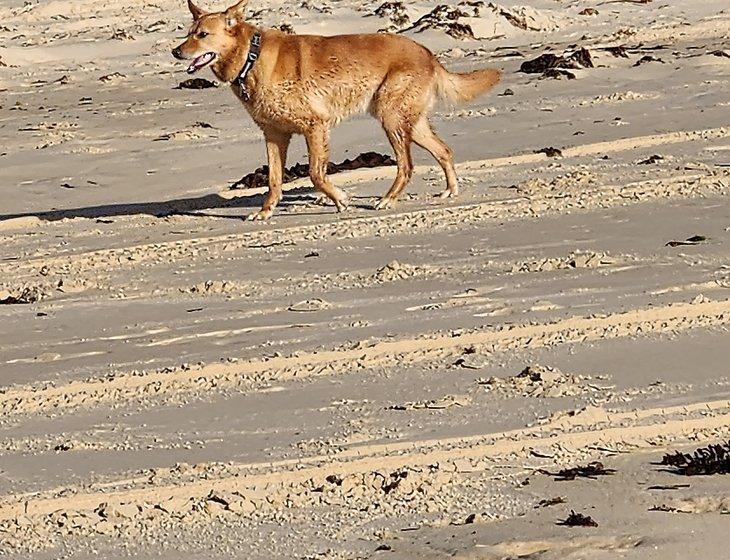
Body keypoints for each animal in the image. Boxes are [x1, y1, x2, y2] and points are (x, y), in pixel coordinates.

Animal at [172, 0, 500, 219]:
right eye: (189, 33)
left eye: (202, 35)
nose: (175, 51)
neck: (250, 59)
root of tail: (428, 53)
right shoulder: (275, 135)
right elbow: (275, 180)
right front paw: (265, 213)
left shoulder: (315, 126)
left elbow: (316, 174)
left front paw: (340, 199)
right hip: (410, 123)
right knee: (444, 151)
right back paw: (450, 190)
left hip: (391, 119)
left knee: (406, 166)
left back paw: (388, 200)